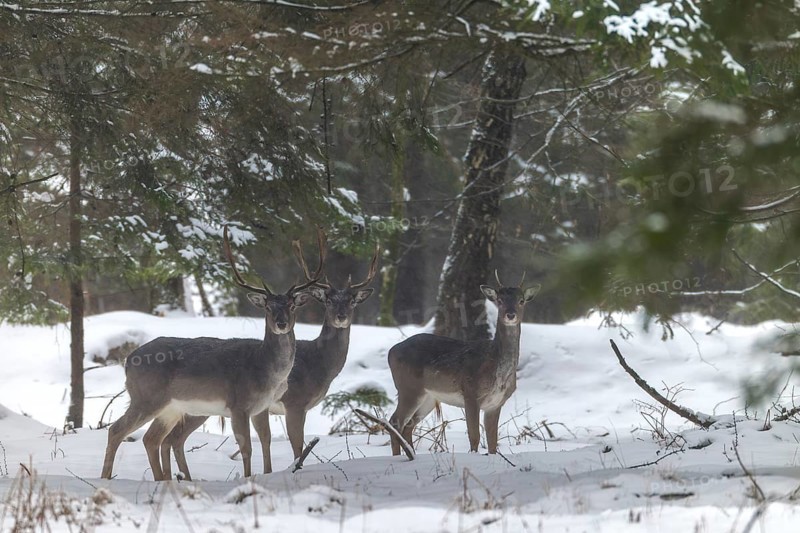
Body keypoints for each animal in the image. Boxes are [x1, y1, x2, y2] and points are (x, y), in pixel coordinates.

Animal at [100, 227, 324, 481]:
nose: (281, 323)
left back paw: (162, 480)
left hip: (170, 408)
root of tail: (128, 360)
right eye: (268, 307)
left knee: (151, 439)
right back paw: (106, 478)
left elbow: (265, 442)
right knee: (116, 430)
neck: (266, 370)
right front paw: (248, 478)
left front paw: (267, 474)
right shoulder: (238, 404)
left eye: (292, 306)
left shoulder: (261, 407)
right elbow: (246, 448)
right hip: (146, 397)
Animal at [158, 237, 380, 480]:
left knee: (170, 439)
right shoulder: (294, 403)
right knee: (170, 439)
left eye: (352, 301)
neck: (319, 365)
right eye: (328, 301)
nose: (341, 317)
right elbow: (297, 445)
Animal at [387, 272, 539, 456]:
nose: (510, 315)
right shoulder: (471, 393)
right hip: (408, 388)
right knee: (395, 422)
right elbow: (474, 437)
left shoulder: (495, 403)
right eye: (499, 300)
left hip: (428, 397)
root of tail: (391, 351)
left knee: (408, 427)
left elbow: (492, 442)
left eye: (521, 300)